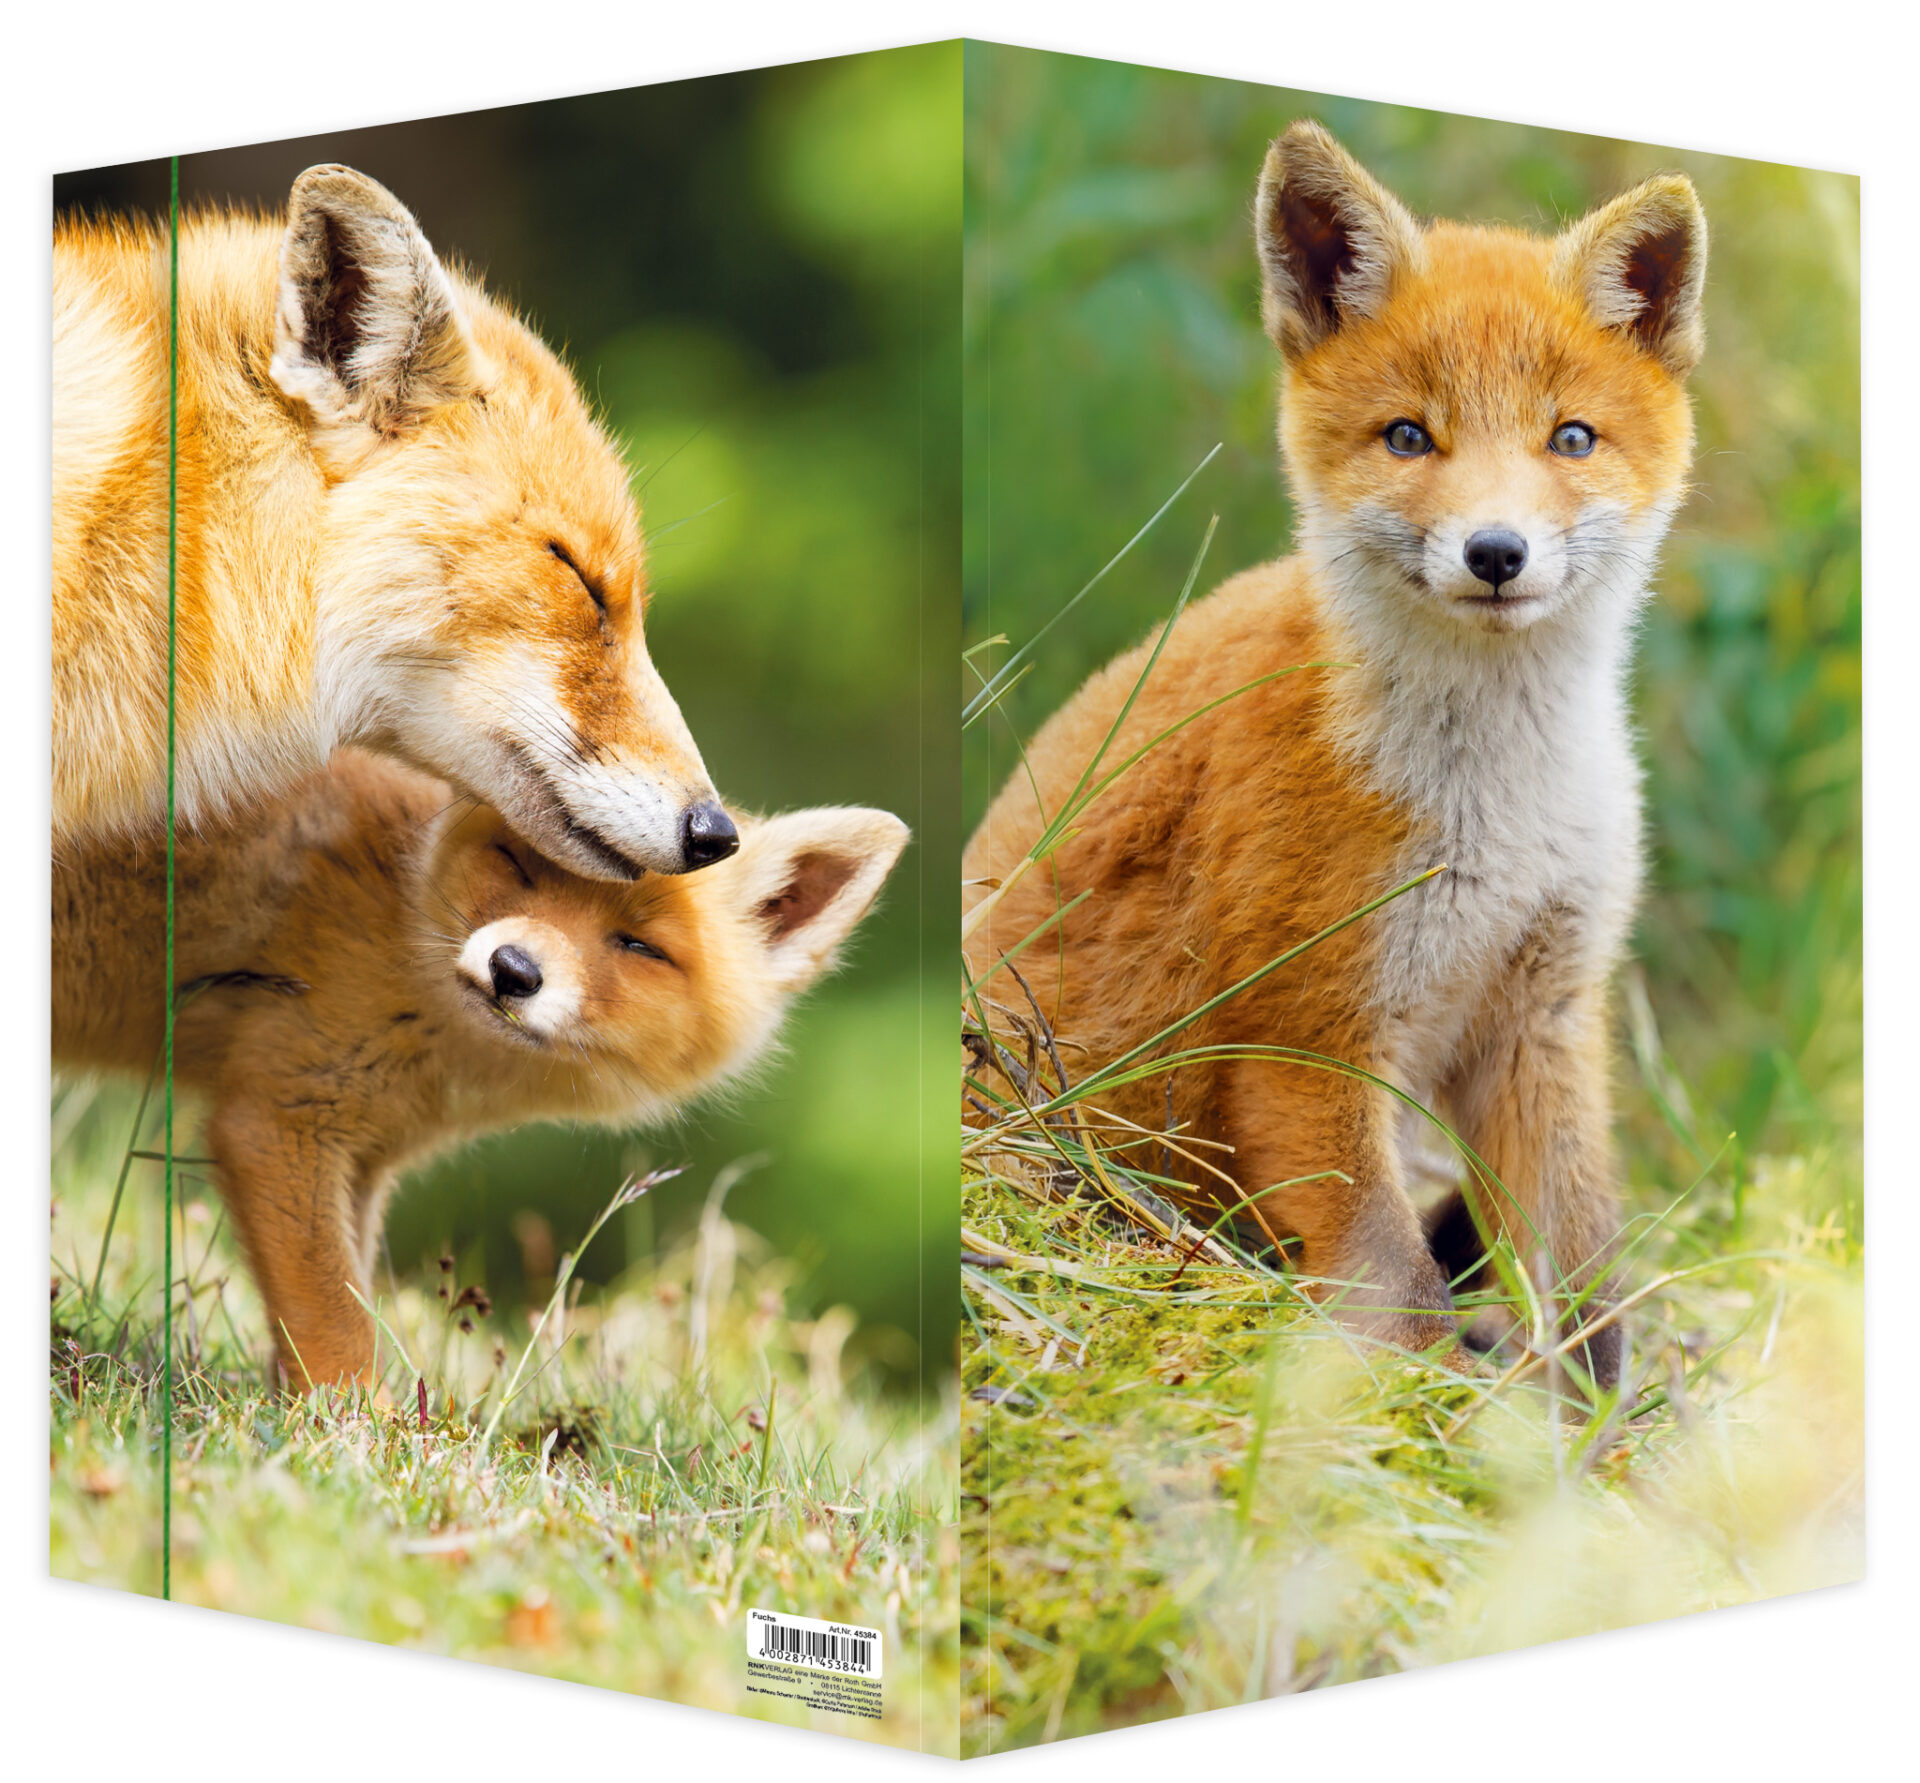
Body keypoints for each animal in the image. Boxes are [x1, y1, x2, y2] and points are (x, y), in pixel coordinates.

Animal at [54, 749, 908, 1387]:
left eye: (639, 945)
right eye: (520, 866)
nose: (513, 969)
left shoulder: (363, 1158)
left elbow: (346, 1294)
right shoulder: (277, 1120)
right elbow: (335, 1318)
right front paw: (360, 1432)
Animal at [964, 123, 1707, 1387]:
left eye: (1570, 438)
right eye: (1410, 436)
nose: (1495, 552)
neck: (1499, 805)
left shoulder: (1542, 1013)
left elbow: (1586, 1284)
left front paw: (1603, 1432)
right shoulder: (1307, 1030)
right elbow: (1399, 1290)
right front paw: (1409, 1420)